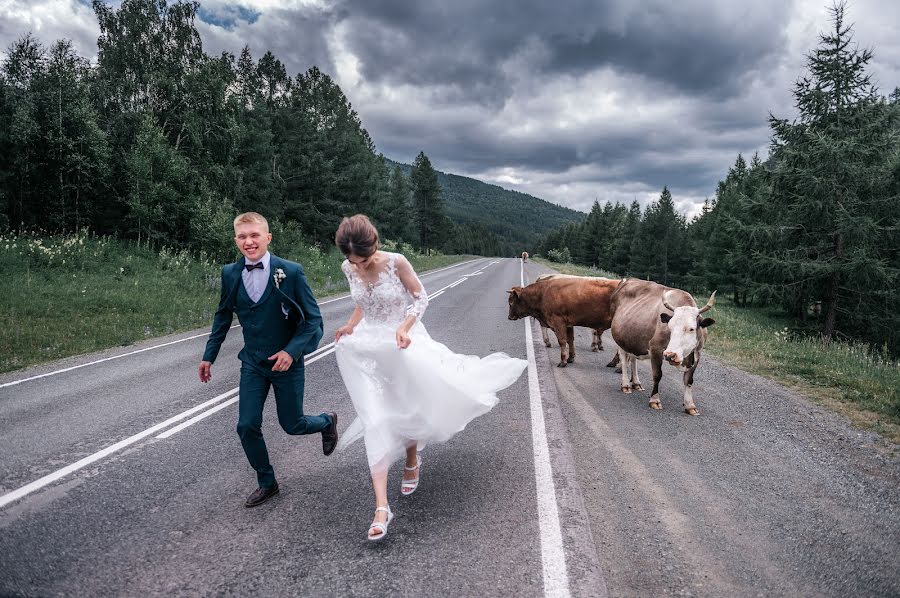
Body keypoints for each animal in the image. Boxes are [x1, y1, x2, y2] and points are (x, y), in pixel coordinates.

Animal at [608, 282, 712, 418]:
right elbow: (657, 375)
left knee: (633, 359)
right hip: (620, 339)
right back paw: (625, 385)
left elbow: (689, 380)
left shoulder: (697, 354)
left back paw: (636, 383)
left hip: (634, 339)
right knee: (624, 360)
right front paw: (655, 400)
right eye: (669, 327)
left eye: (691, 329)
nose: (670, 355)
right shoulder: (656, 350)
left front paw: (690, 406)